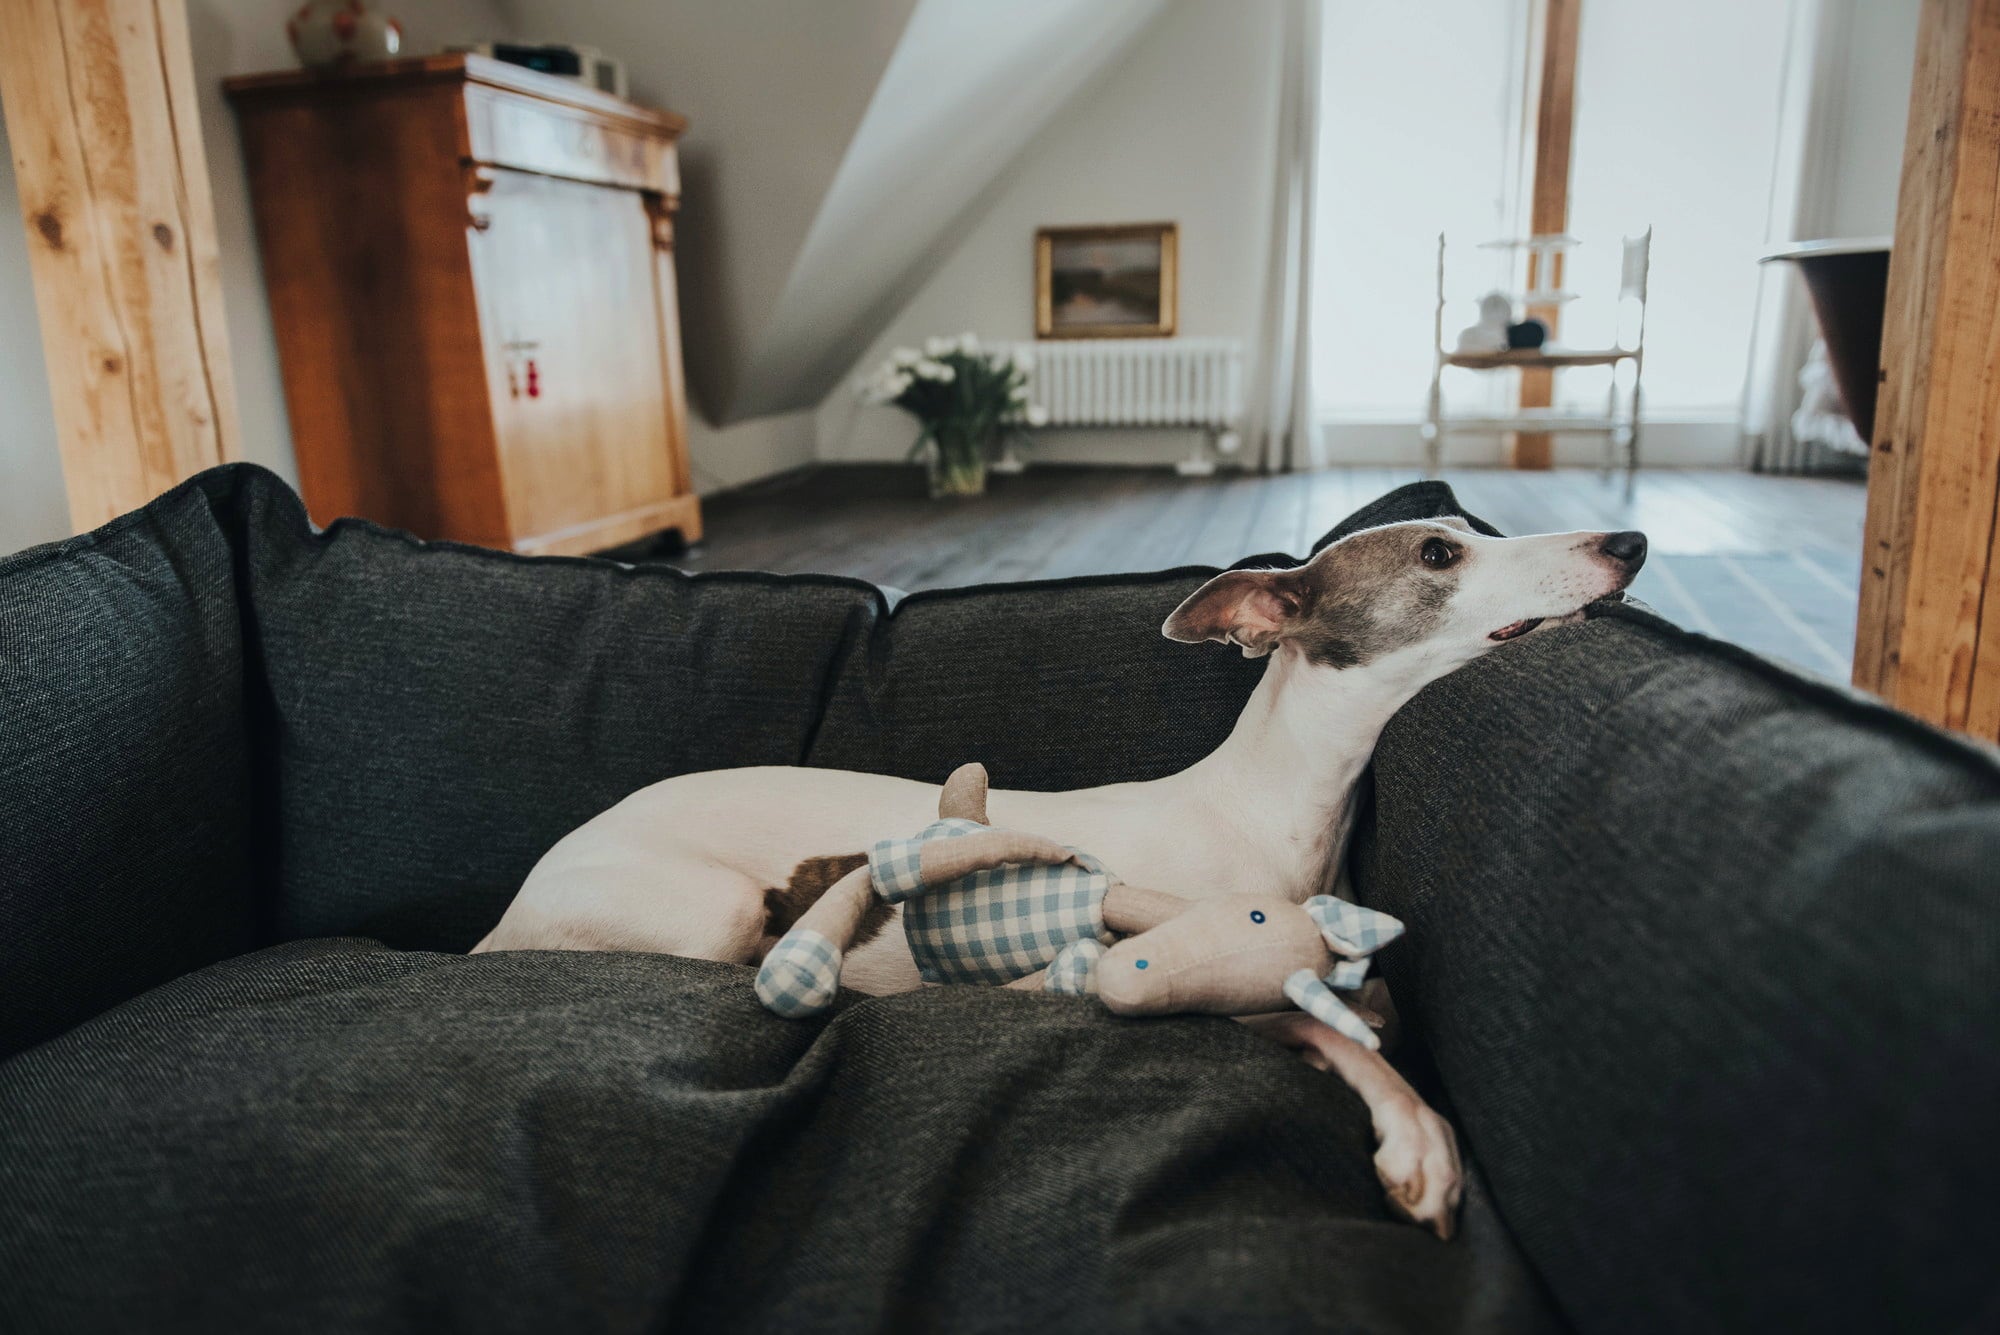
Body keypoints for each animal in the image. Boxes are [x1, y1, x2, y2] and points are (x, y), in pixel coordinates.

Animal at [473, 516, 1648, 1238]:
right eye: (1440, 550)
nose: (1629, 542)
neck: (1265, 802)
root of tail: (500, 918)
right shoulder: (1187, 974)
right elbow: (1334, 1034)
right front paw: (1417, 1140)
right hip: (708, 909)